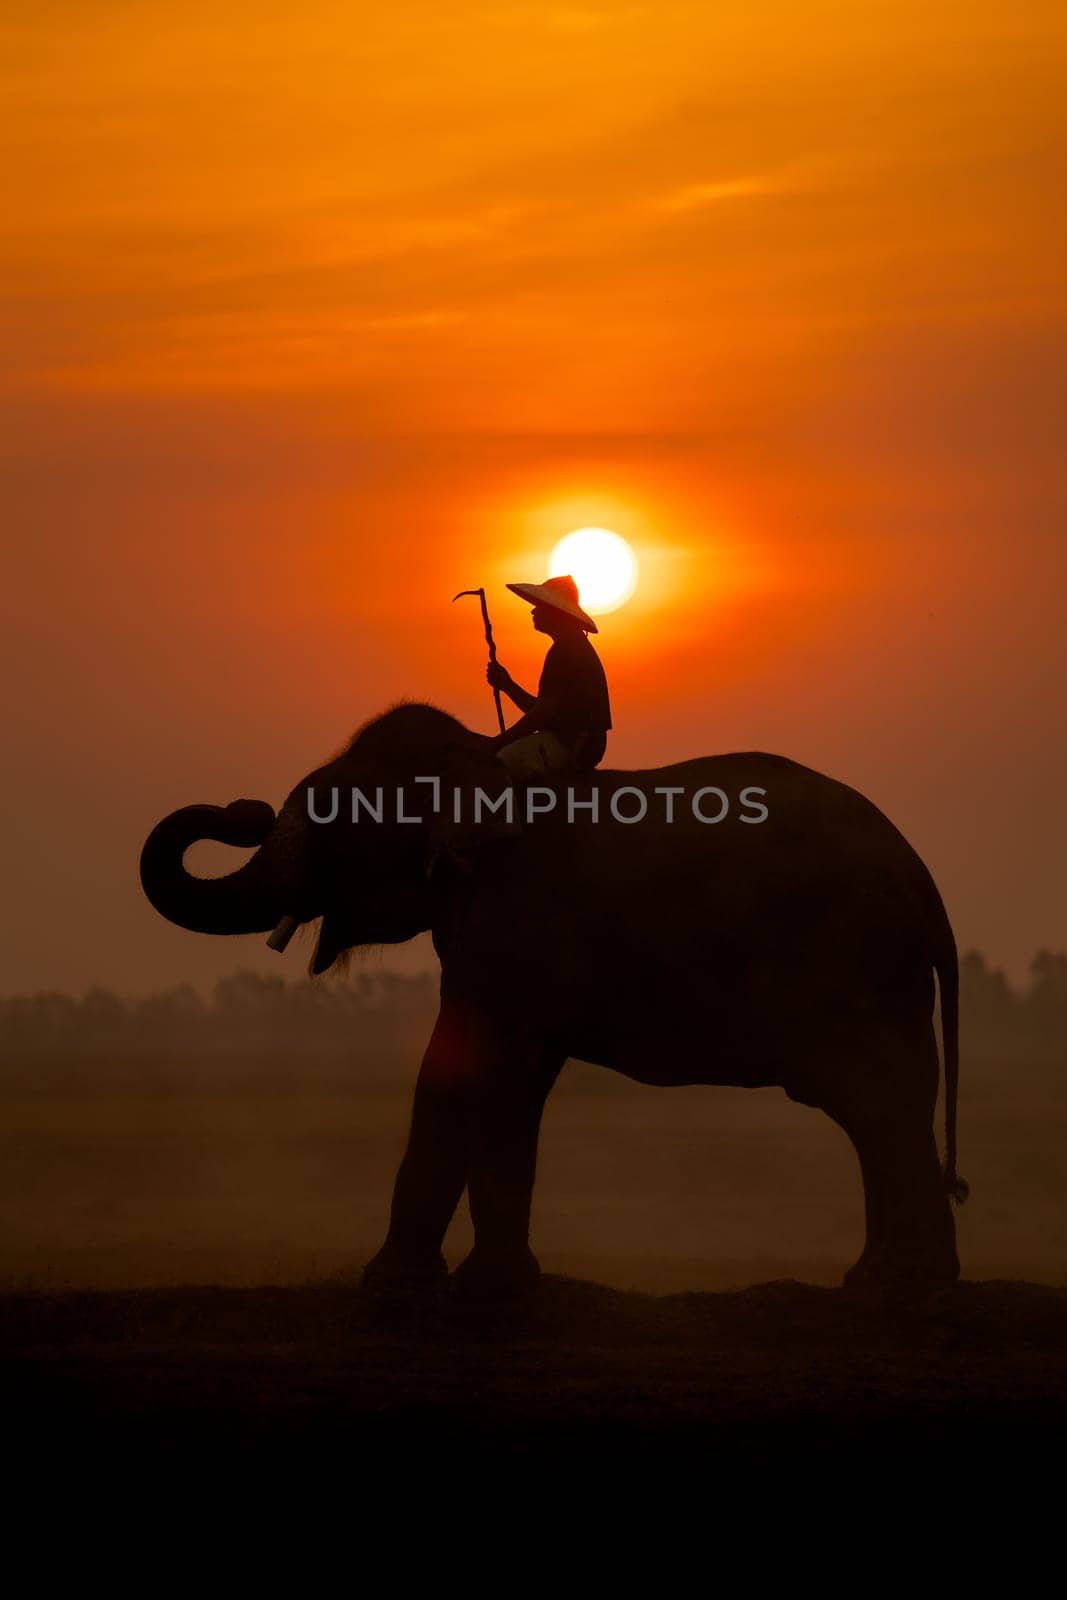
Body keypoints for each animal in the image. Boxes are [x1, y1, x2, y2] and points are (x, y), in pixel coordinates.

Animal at [137, 710, 966, 1299]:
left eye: (332, 820)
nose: (239, 808)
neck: (476, 758)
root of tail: (923, 880)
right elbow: (477, 1075)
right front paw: (437, 1285)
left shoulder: (511, 919)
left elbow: (483, 1071)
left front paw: (450, 1286)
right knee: (882, 1106)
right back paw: (887, 1283)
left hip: (852, 959)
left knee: (875, 1102)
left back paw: (901, 1285)